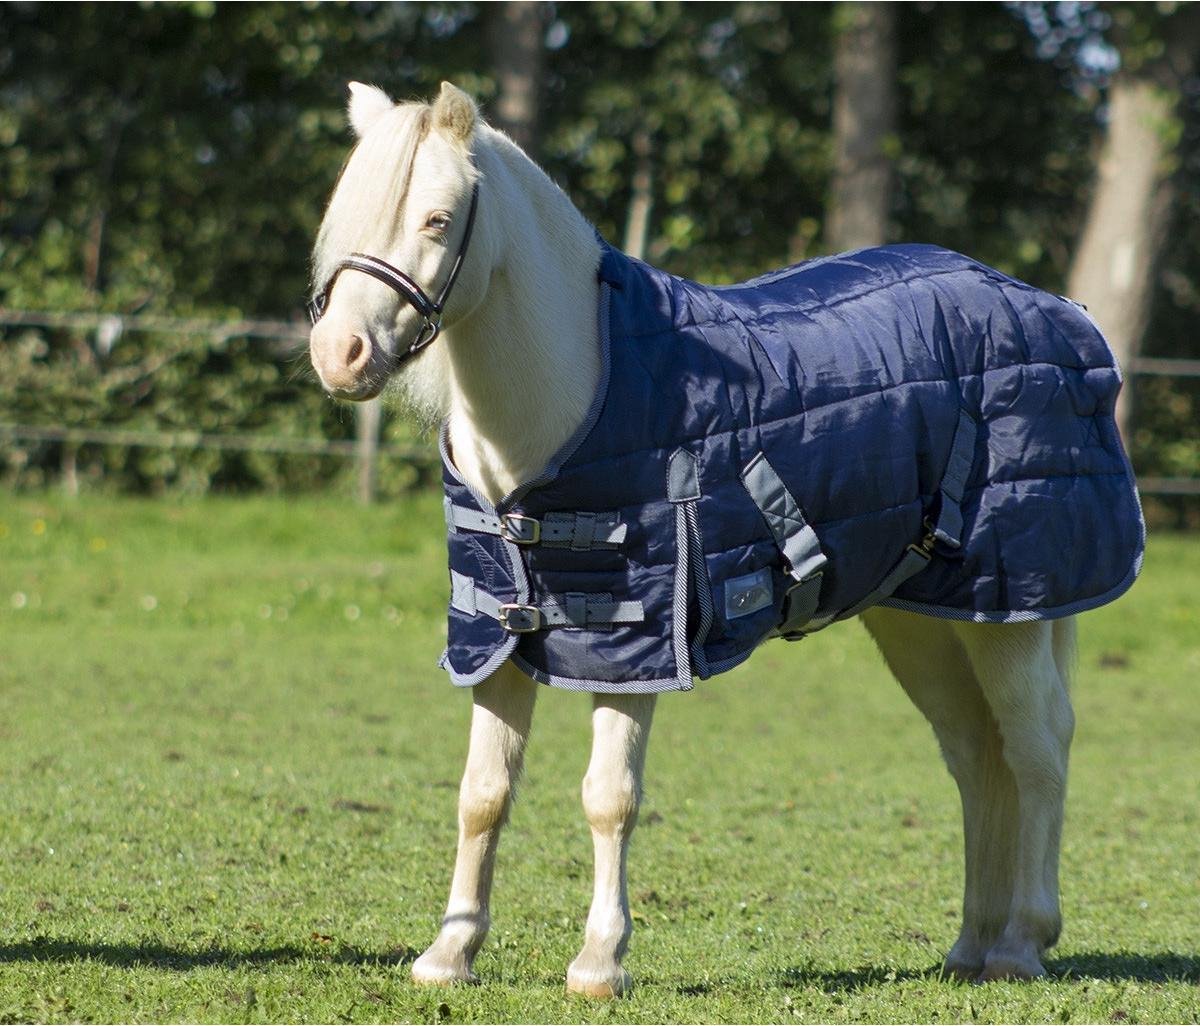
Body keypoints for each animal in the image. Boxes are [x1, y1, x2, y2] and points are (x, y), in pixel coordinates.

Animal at [307, 81, 1142, 995]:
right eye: (345, 210)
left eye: (436, 217)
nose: (339, 353)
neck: (572, 399)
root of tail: (1055, 315)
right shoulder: (496, 636)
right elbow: (482, 792)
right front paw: (449, 953)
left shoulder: (636, 647)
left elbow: (609, 797)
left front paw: (599, 962)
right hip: (923, 619)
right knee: (973, 753)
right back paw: (971, 945)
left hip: (1012, 615)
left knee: (1035, 748)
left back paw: (1023, 941)